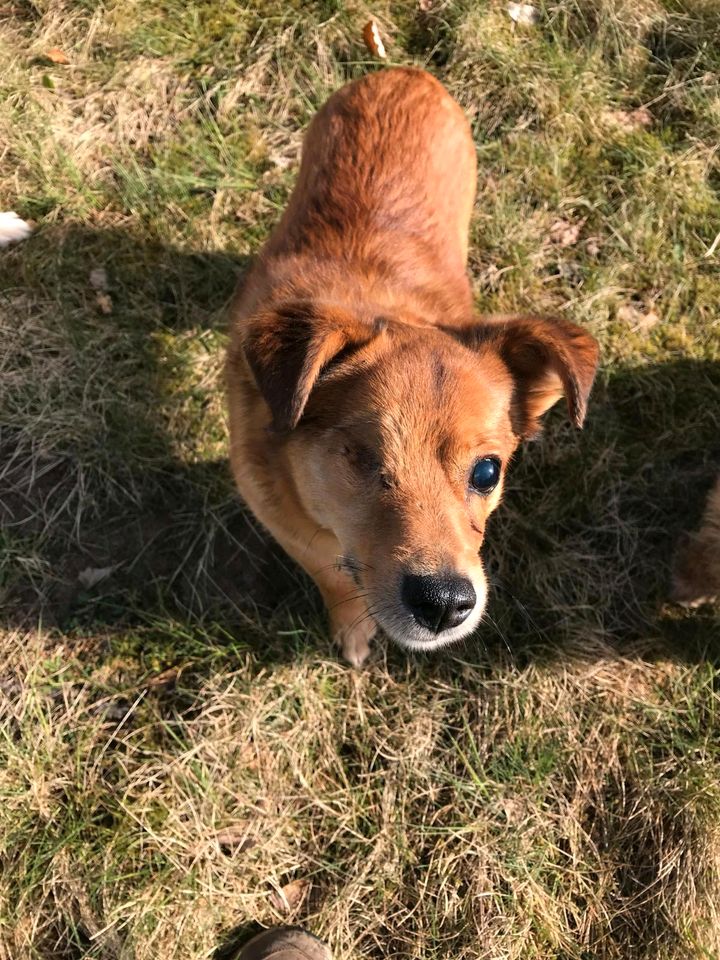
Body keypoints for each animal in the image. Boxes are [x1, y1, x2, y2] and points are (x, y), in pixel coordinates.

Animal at [225, 67, 596, 664]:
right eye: (359, 456)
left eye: (487, 471)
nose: (445, 604)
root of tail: (403, 72)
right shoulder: (287, 525)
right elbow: (334, 577)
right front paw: (353, 629)